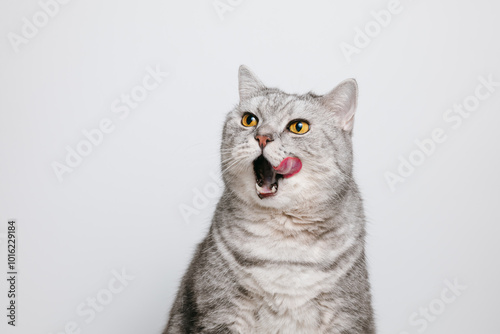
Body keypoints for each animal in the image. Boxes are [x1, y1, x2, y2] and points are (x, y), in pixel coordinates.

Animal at [164, 66, 376, 334]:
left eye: (298, 127)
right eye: (249, 120)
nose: (262, 137)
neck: (284, 241)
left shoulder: (348, 315)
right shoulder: (220, 312)